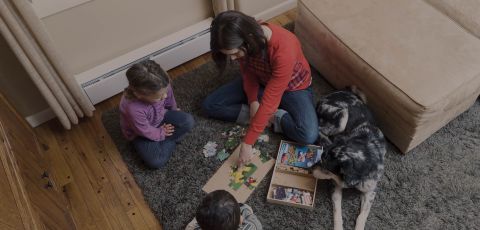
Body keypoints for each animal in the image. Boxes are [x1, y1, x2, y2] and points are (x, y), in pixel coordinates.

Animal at [312, 86, 386, 230]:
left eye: (326, 169)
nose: (310, 170)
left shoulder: (370, 191)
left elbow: (362, 216)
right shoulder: (336, 186)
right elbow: (338, 212)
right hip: (342, 117)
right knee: (318, 128)